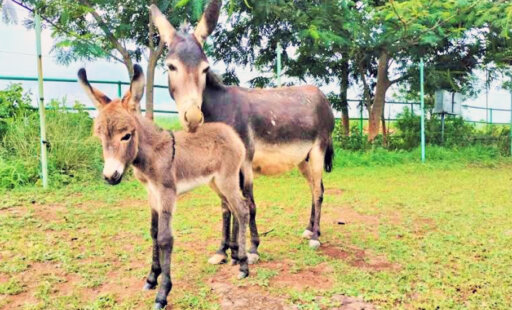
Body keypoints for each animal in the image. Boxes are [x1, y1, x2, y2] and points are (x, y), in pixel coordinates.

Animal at [77, 64, 250, 308]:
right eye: (100, 136)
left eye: (126, 136)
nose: (110, 177)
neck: (152, 154)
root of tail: (231, 133)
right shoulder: (151, 193)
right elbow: (153, 231)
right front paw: (151, 278)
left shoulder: (167, 191)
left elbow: (165, 238)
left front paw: (162, 292)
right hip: (216, 182)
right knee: (231, 209)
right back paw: (233, 256)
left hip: (227, 179)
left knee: (242, 210)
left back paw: (244, 265)